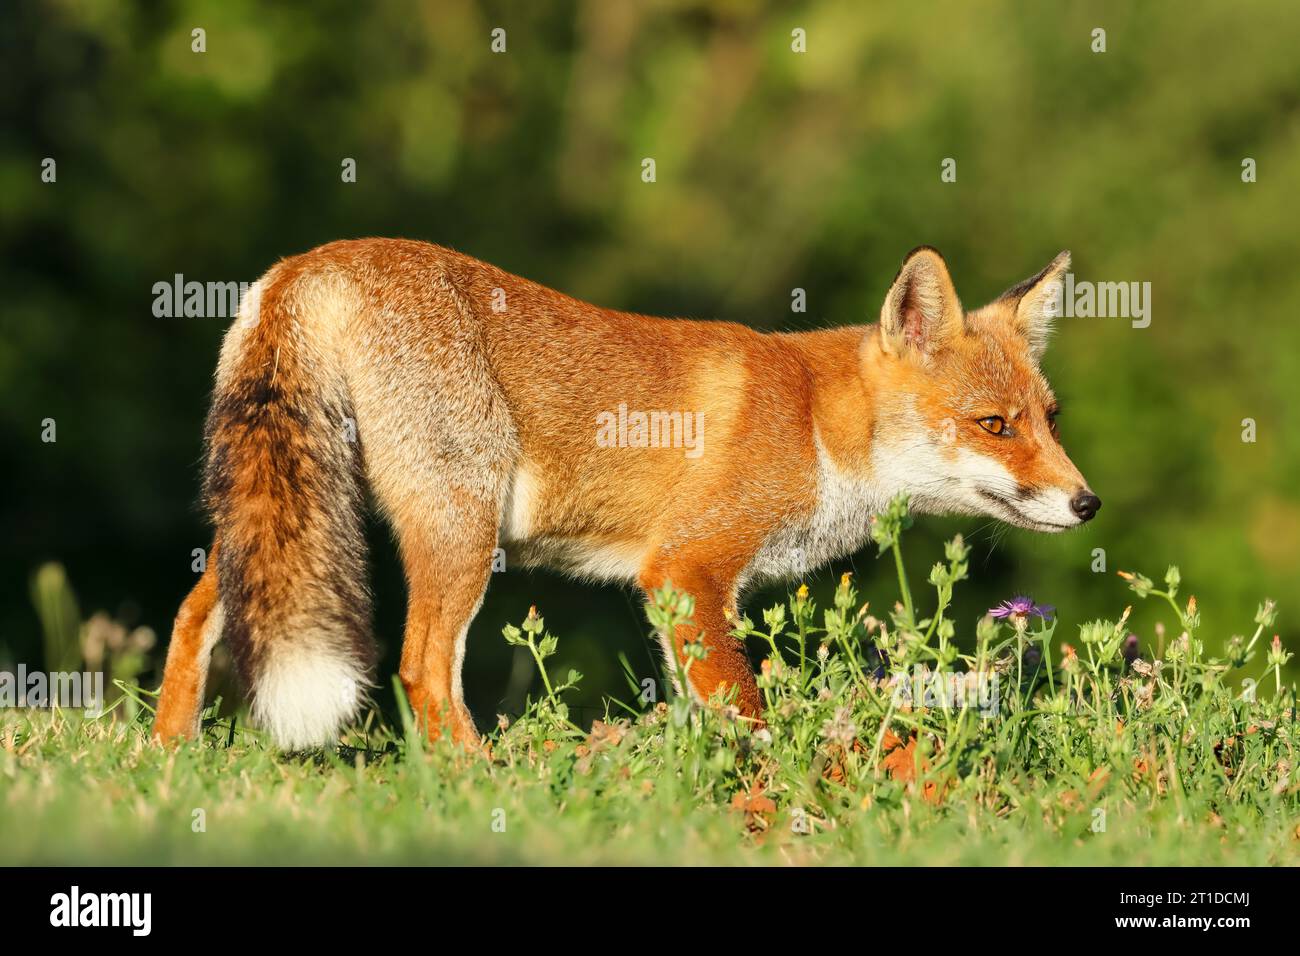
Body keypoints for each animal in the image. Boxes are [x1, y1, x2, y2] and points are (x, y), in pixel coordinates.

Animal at [152, 240, 1100, 749]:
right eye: (995, 425)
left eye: (1051, 420)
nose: (1087, 504)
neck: (816, 424)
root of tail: (311, 262)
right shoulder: (688, 564)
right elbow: (746, 707)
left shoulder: (679, 590)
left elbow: (699, 703)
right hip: (458, 525)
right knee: (421, 666)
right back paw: (482, 781)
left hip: (290, 505)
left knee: (195, 616)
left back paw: (170, 756)